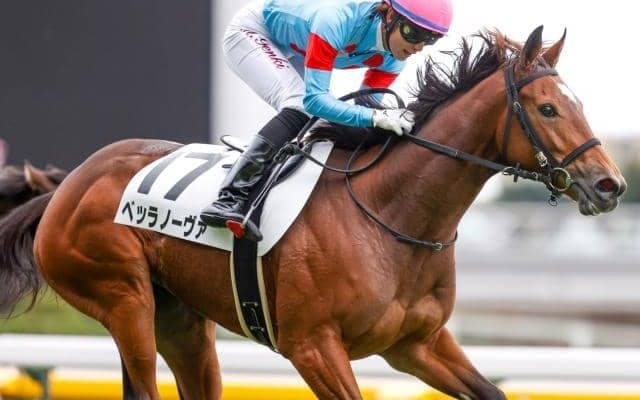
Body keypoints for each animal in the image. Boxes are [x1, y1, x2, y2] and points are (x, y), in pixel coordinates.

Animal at [0, 26, 626, 400]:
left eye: (575, 104)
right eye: (547, 108)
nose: (610, 184)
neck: (393, 214)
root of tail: (65, 187)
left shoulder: (417, 344)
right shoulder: (313, 346)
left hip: (182, 322)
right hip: (122, 298)